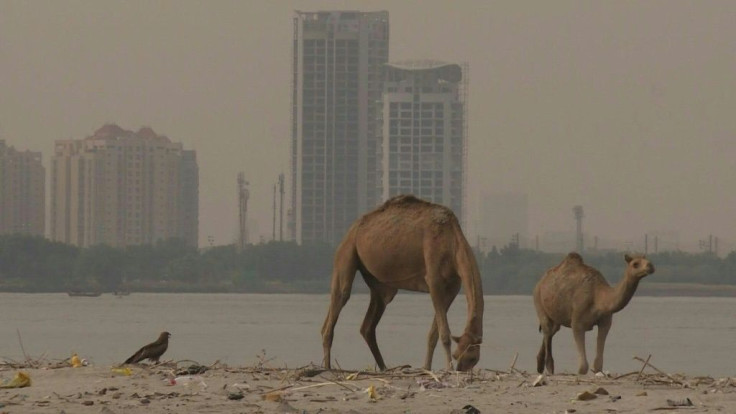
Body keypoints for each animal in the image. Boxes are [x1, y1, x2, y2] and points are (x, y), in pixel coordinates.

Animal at [320, 194, 484, 372]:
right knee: (339, 300)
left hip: (380, 284)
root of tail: (351, 230)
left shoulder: (452, 287)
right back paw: (327, 367)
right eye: (456, 355)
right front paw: (447, 368)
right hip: (346, 253)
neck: (452, 243)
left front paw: (427, 367)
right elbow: (444, 333)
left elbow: (433, 333)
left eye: (474, 358)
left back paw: (385, 368)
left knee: (368, 324)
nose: (461, 369)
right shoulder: (434, 280)